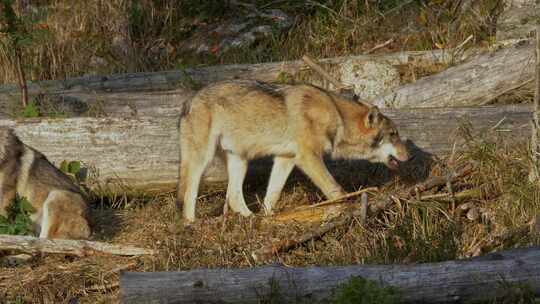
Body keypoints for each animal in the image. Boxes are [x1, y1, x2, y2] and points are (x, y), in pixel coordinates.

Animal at [177, 79, 410, 222]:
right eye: (393, 134)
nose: (409, 155)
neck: (338, 117)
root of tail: (190, 100)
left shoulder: (286, 158)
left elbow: (272, 195)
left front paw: (269, 218)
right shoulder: (308, 158)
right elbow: (335, 190)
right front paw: (346, 208)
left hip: (240, 161)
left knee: (234, 197)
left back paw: (252, 219)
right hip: (202, 160)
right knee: (189, 194)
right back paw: (191, 224)